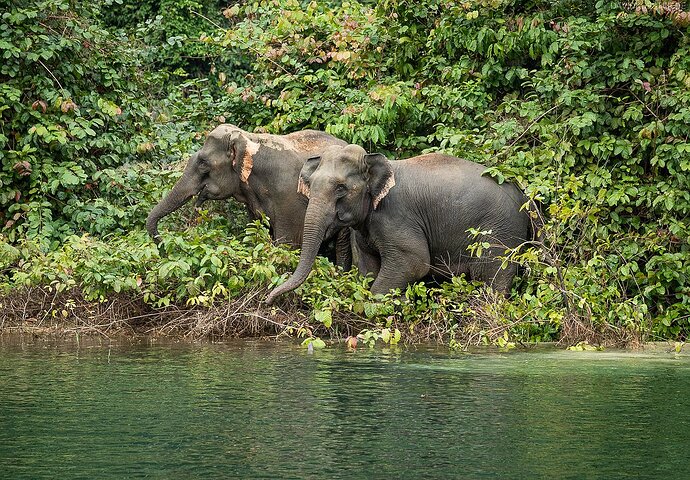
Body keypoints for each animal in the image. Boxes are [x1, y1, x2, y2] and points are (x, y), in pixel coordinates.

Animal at [266, 144, 528, 306]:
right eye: (310, 185)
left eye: (341, 188)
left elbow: (414, 263)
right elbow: (368, 267)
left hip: (499, 233)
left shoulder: (396, 217)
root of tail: (525, 199)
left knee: (493, 279)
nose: (268, 300)